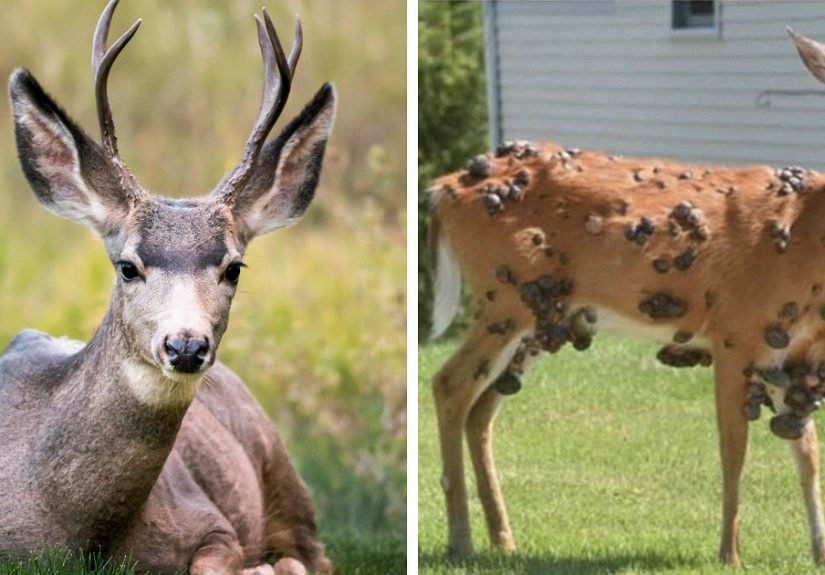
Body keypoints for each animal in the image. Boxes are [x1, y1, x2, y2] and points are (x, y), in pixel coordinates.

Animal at [0, 1, 336, 574]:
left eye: (234, 268)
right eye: (127, 266)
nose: (185, 345)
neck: (79, 533)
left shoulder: (211, 522)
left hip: (281, 470)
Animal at [429, 28, 825, 567]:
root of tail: (441, 189)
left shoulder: (792, 351)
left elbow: (807, 454)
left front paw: (819, 552)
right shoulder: (736, 332)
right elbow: (734, 451)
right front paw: (730, 555)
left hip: (541, 318)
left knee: (481, 409)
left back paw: (504, 540)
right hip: (502, 297)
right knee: (449, 385)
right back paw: (461, 539)